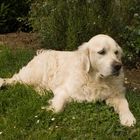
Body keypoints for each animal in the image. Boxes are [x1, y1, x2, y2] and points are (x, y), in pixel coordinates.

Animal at [0, 34, 136, 127]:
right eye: (101, 52)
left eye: (116, 52)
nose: (118, 66)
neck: (97, 79)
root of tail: (41, 53)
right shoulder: (64, 89)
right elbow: (57, 108)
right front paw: (48, 109)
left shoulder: (116, 94)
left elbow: (124, 103)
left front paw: (128, 118)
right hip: (33, 74)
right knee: (15, 79)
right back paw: (3, 82)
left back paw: (41, 91)